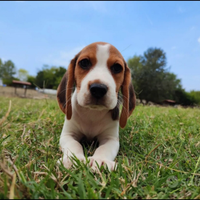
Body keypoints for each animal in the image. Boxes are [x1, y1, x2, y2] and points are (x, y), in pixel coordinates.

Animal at [57, 41, 137, 171]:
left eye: (117, 67)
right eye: (84, 63)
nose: (98, 89)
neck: (92, 113)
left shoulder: (111, 139)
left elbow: (103, 148)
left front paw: (100, 160)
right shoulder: (68, 134)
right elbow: (74, 144)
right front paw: (73, 160)